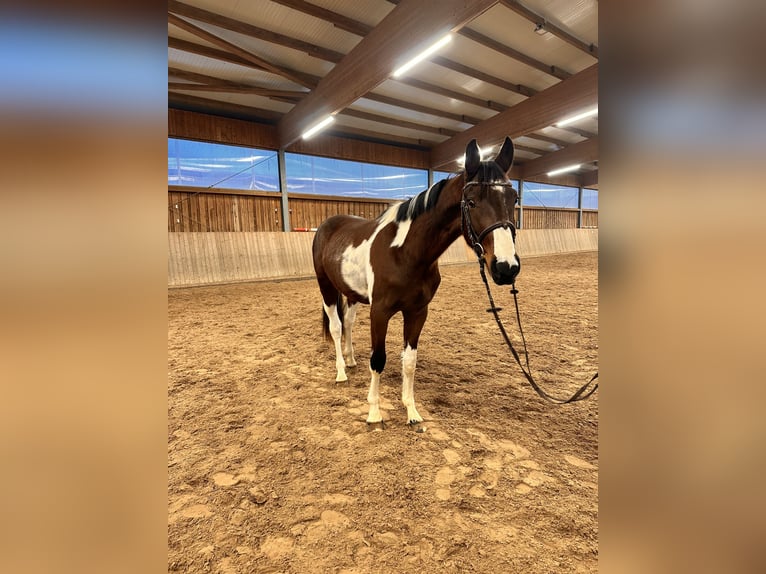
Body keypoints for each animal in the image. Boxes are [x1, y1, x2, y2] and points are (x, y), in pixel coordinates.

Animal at [311, 137, 520, 426]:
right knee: (335, 327)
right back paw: (341, 371)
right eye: (471, 201)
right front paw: (374, 412)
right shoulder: (380, 312)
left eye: (514, 198)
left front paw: (411, 411)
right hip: (327, 288)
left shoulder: (418, 312)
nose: (506, 267)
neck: (405, 252)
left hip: (351, 293)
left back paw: (351, 360)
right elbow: (378, 359)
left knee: (349, 324)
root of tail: (327, 225)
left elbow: (409, 360)